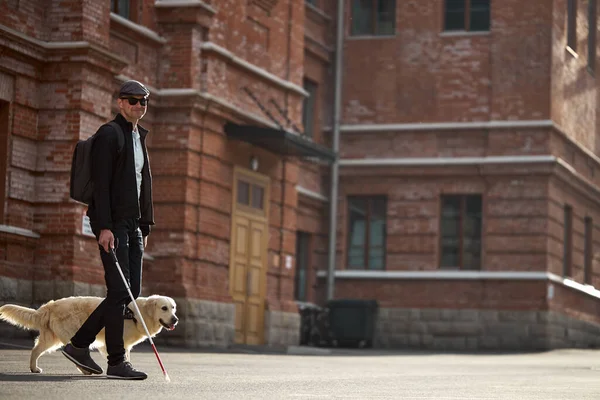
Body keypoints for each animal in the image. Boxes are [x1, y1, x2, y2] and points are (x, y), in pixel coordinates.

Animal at [0, 296, 178, 374]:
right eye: (164, 308)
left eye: (173, 308)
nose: (175, 320)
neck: (137, 314)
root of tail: (50, 305)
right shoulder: (116, 340)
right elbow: (122, 355)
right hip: (72, 333)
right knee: (73, 352)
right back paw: (85, 369)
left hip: (51, 338)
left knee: (35, 350)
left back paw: (34, 368)